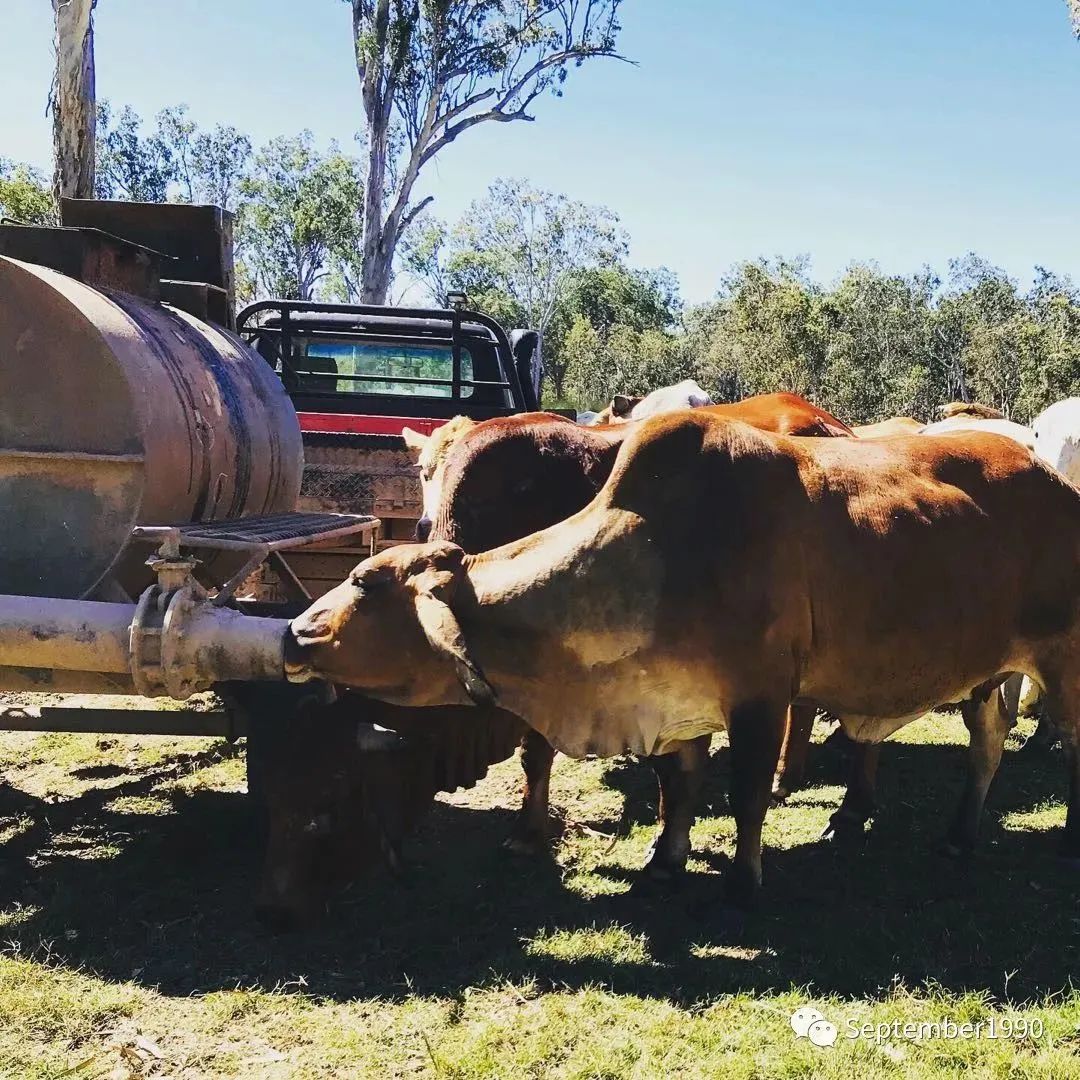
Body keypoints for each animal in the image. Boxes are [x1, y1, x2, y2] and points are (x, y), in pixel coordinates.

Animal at [285, 412, 1080, 911]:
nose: (295, 632)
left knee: (1067, 746)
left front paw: (742, 882)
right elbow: (678, 786)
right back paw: (959, 836)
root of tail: (1053, 479)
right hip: (987, 673)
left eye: (365, 581)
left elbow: (749, 794)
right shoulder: (671, 698)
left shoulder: (760, 698)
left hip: (1063, 662)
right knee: (988, 745)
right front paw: (665, 860)